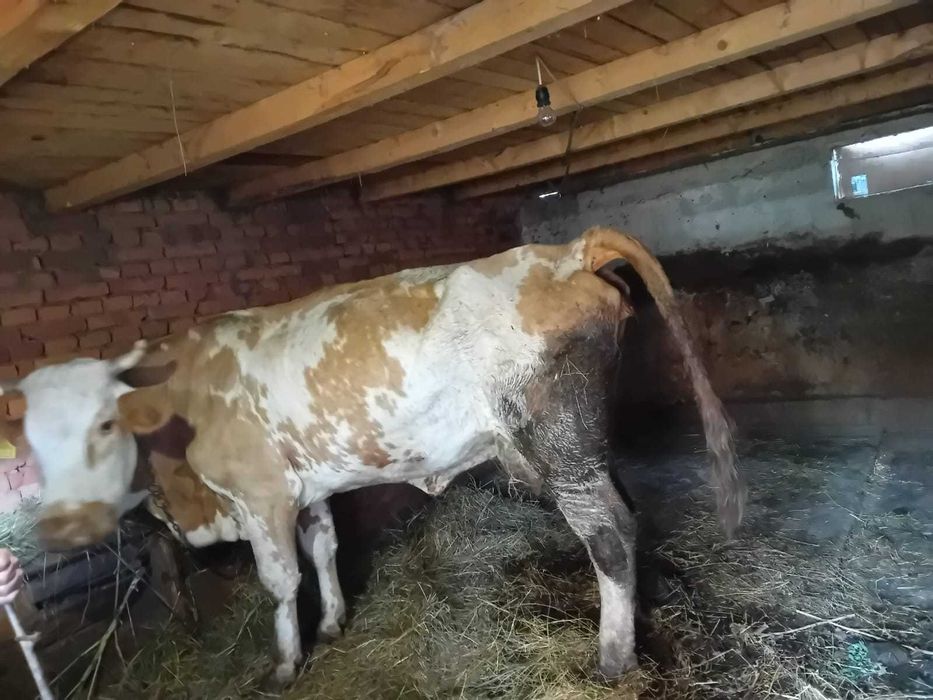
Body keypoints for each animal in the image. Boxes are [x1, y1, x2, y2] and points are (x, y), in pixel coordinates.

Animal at [0, 227, 744, 685]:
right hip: (585, 447)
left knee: (609, 534)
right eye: (31, 438)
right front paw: (331, 623)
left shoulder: (262, 496)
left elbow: (280, 581)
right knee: (628, 515)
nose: (63, 526)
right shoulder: (308, 489)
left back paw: (613, 656)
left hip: (563, 449)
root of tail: (564, 251)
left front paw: (285, 664)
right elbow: (325, 549)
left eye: (104, 425)